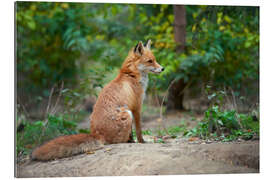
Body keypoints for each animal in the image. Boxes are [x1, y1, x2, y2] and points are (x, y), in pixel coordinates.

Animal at [30, 39, 163, 160]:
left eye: (155, 60)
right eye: (150, 61)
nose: (162, 68)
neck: (131, 75)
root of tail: (97, 134)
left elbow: (133, 131)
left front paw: (135, 140)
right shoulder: (136, 107)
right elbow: (139, 130)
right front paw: (141, 141)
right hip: (127, 113)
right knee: (117, 141)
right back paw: (127, 142)